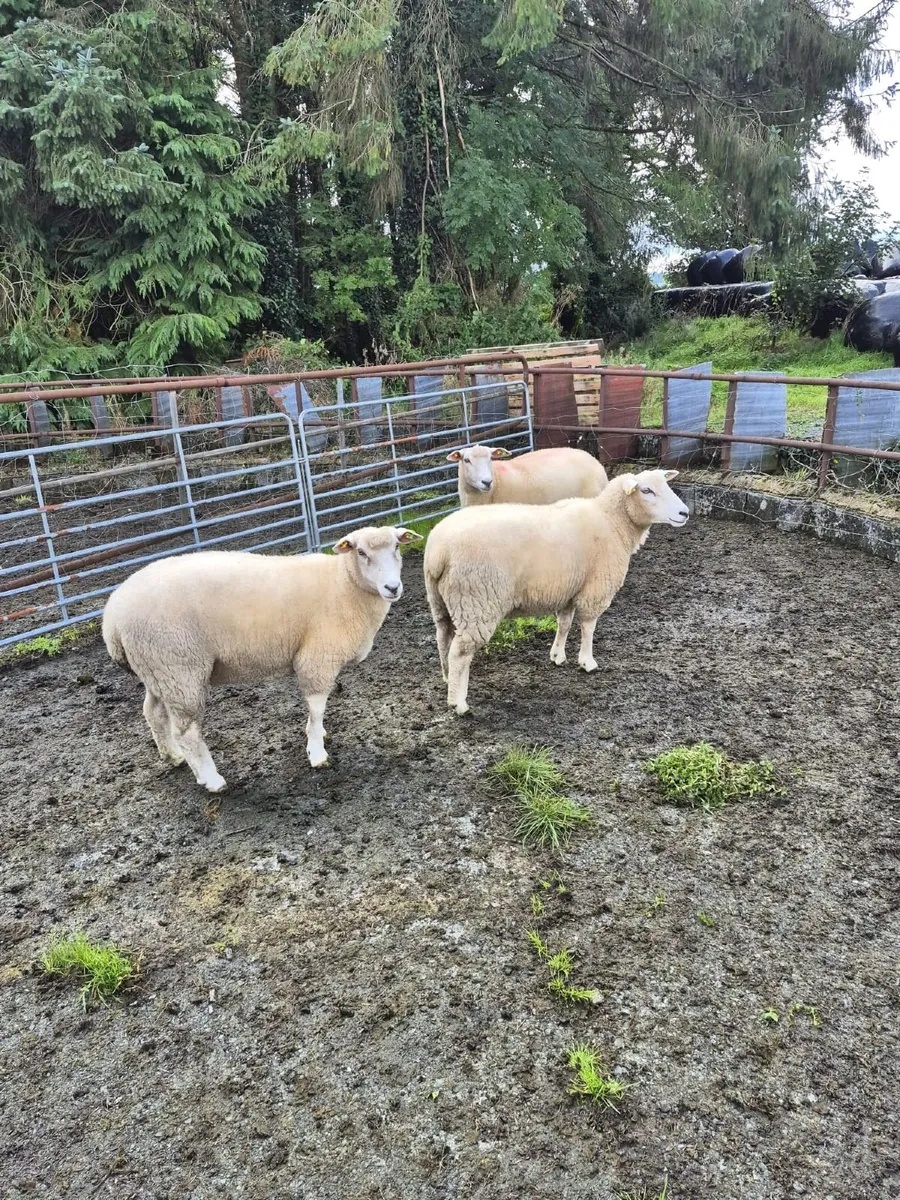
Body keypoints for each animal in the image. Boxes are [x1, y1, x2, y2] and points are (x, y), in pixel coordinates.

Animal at [102, 525, 421, 792]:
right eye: (361, 552)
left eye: (396, 547)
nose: (392, 588)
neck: (343, 584)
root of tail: (112, 618)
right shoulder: (317, 658)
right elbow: (317, 708)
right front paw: (317, 752)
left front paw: (319, 736)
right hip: (180, 668)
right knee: (187, 731)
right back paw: (212, 779)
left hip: (158, 670)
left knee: (153, 713)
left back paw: (173, 757)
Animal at [423, 469, 689, 715]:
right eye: (646, 490)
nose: (684, 513)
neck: (613, 522)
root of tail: (438, 551)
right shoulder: (595, 588)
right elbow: (588, 627)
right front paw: (587, 661)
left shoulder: (569, 589)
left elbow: (564, 624)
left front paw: (557, 655)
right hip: (476, 600)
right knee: (460, 653)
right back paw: (458, 702)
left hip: (441, 601)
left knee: (443, 639)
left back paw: (447, 678)